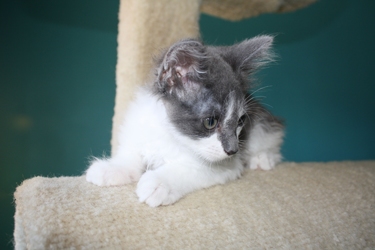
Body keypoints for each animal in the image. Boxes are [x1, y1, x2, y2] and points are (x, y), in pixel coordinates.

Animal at [86, 34, 284, 207]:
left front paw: (159, 183)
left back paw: (263, 158)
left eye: (241, 121)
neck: (171, 133)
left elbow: (189, 168)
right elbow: (132, 155)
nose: (233, 150)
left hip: (263, 126)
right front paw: (112, 168)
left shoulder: (226, 165)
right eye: (210, 122)